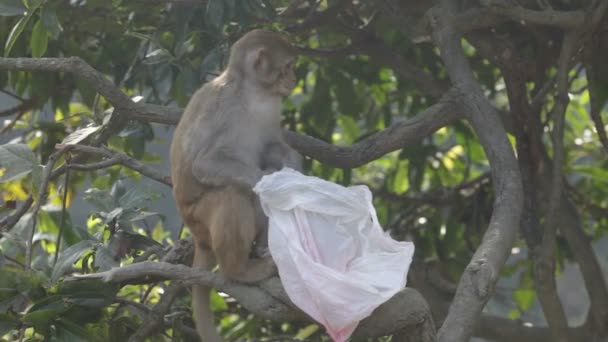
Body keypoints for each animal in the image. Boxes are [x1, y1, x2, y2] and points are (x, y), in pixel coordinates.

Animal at [170, 30, 302, 342]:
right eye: (288, 66)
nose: (293, 80)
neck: (252, 93)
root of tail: (198, 239)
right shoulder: (222, 106)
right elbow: (203, 164)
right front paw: (266, 181)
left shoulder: (271, 107)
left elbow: (272, 147)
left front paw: (293, 163)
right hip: (199, 220)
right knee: (233, 194)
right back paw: (239, 270)